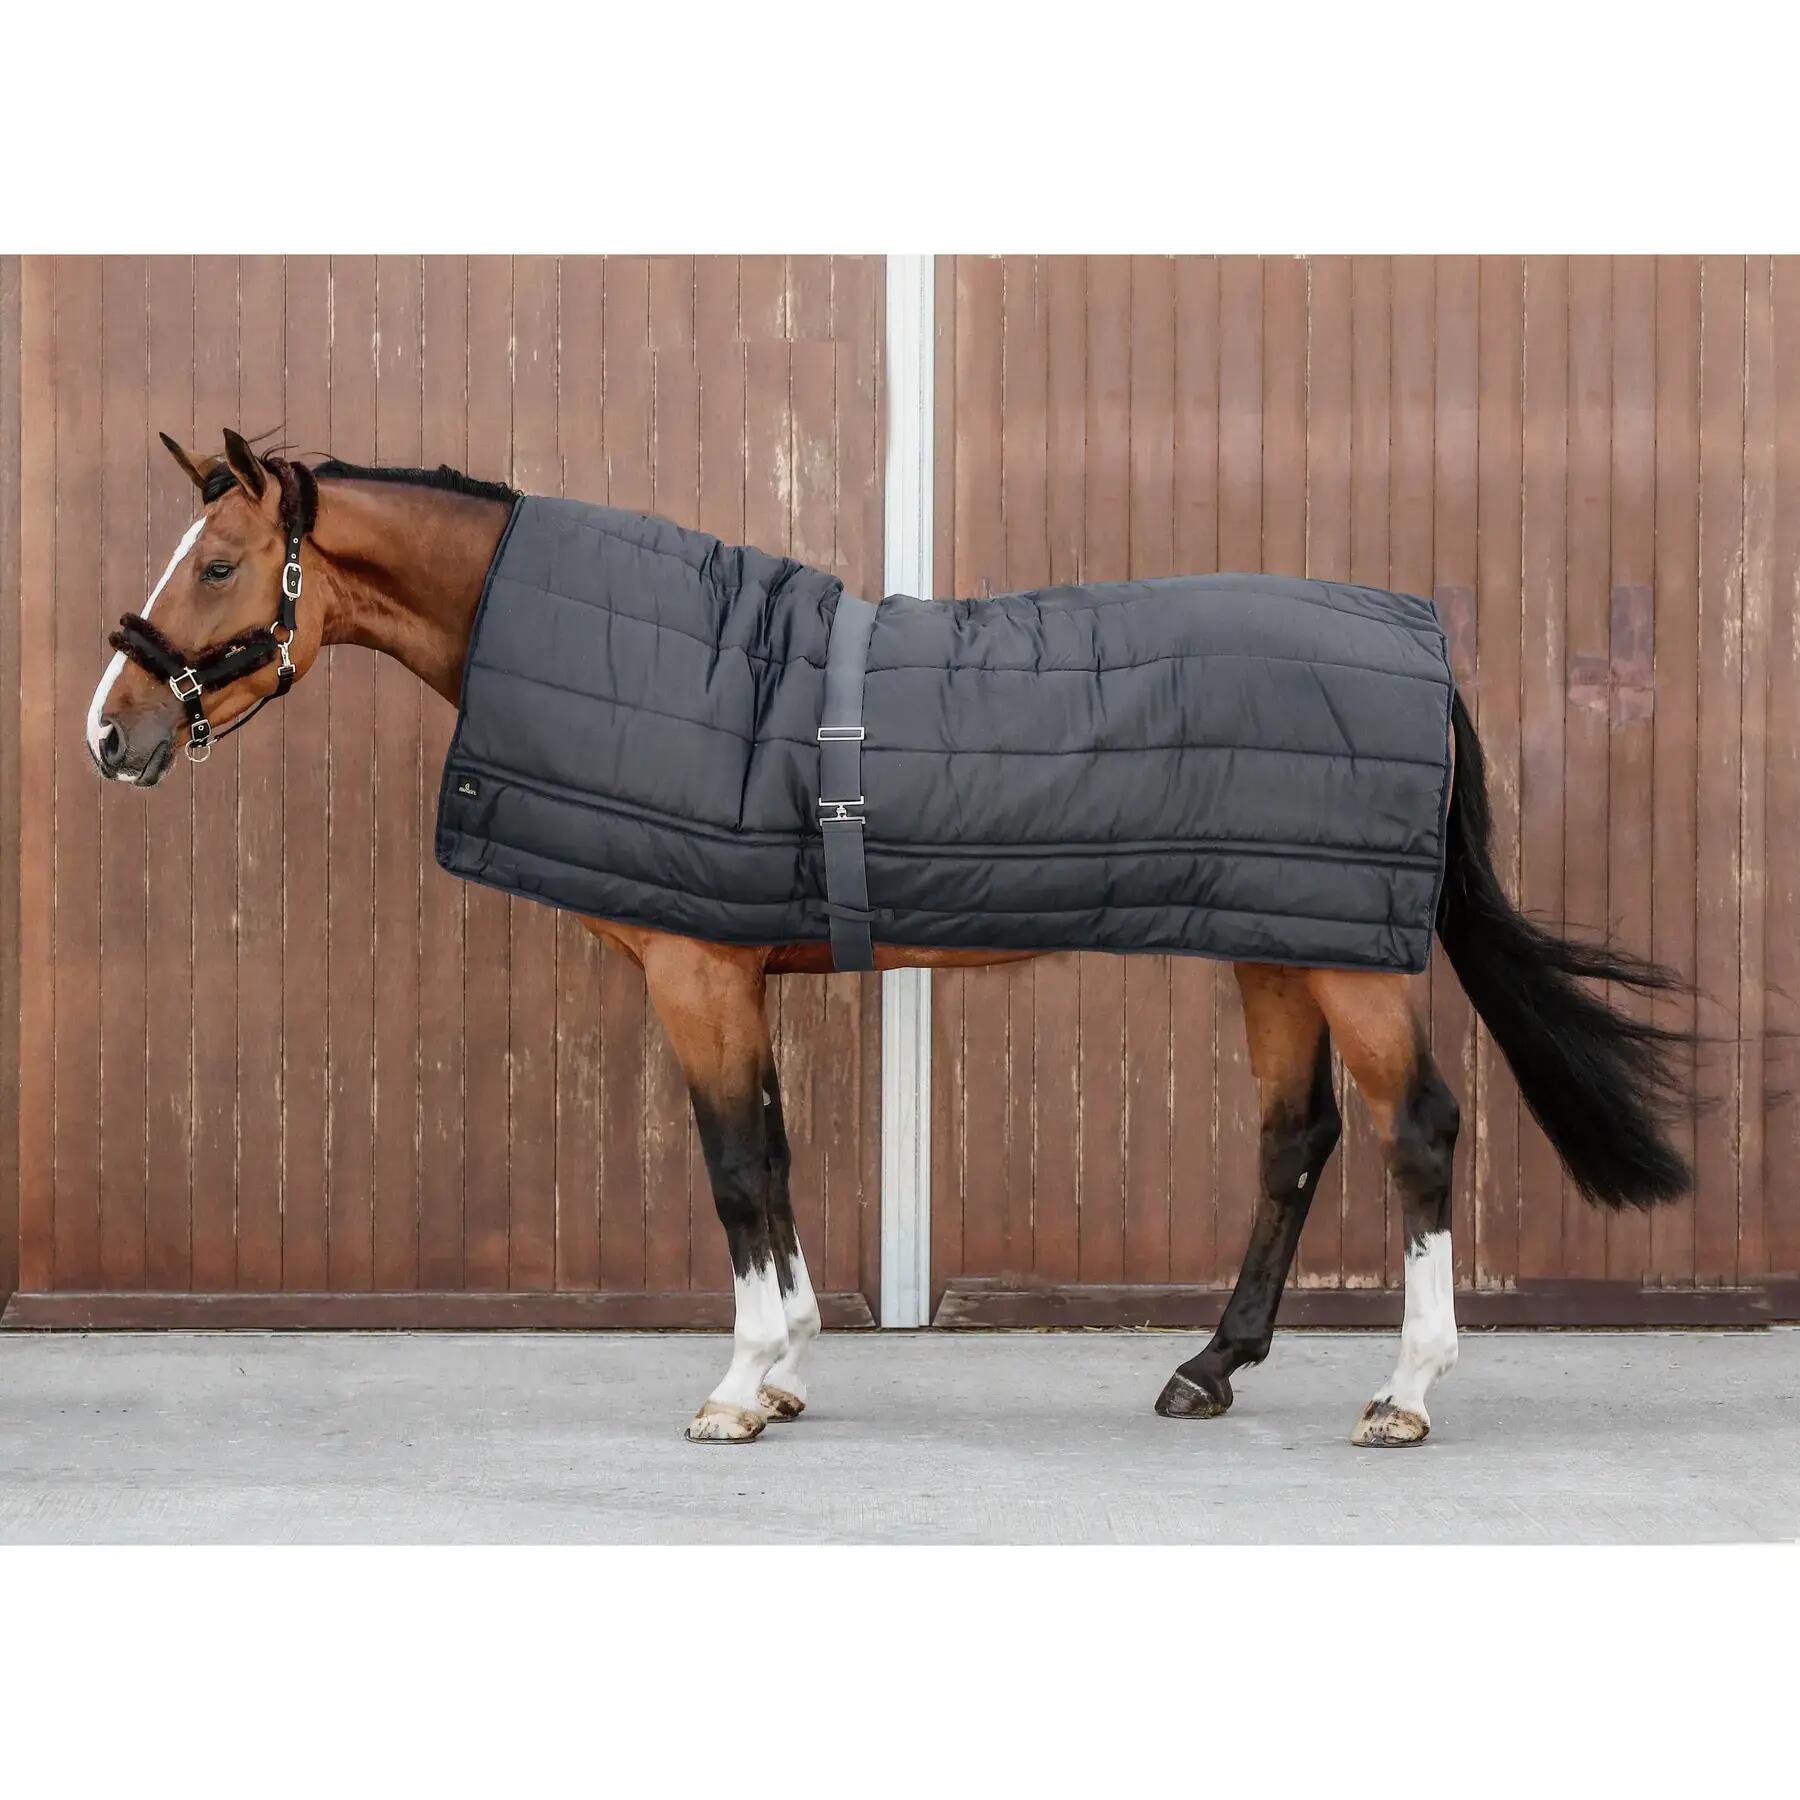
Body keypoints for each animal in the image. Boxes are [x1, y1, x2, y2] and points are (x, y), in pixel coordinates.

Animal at [85, 430, 1693, 1448]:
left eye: (218, 566)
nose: (113, 732)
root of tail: (1416, 642)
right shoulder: (737, 970)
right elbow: (779, 1157)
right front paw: (789, 1366)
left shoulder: (698, 974)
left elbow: (737, 1167)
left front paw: (738, 1388)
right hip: (1276, 941)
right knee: (1296, 1140)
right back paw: (1208, 1369)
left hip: (1350, 960)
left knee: (1418, 1132)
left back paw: (1407, 1393)